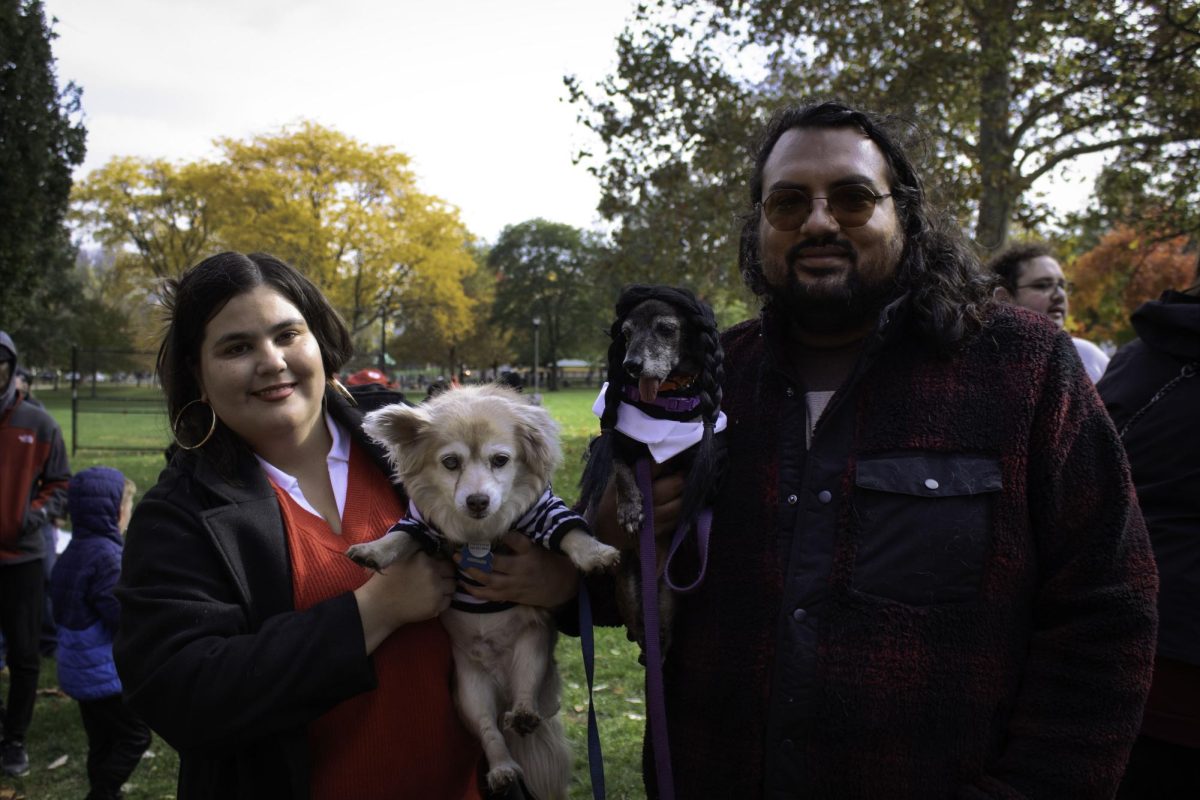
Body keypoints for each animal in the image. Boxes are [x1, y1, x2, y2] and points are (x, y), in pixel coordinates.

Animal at [343, 383, 614, 796]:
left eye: (500, 460)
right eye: (450, 463)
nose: (477, 500)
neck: (479, 534)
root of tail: (502, 690)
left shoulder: (544, 512)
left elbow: (571, 533)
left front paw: (595, 553)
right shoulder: (421, 523)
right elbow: (400, 537)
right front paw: (374, 551)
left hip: (532, 651)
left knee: (524, 692)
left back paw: (524, 713)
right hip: (472, 692)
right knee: (491, 732)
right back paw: (503, 768)